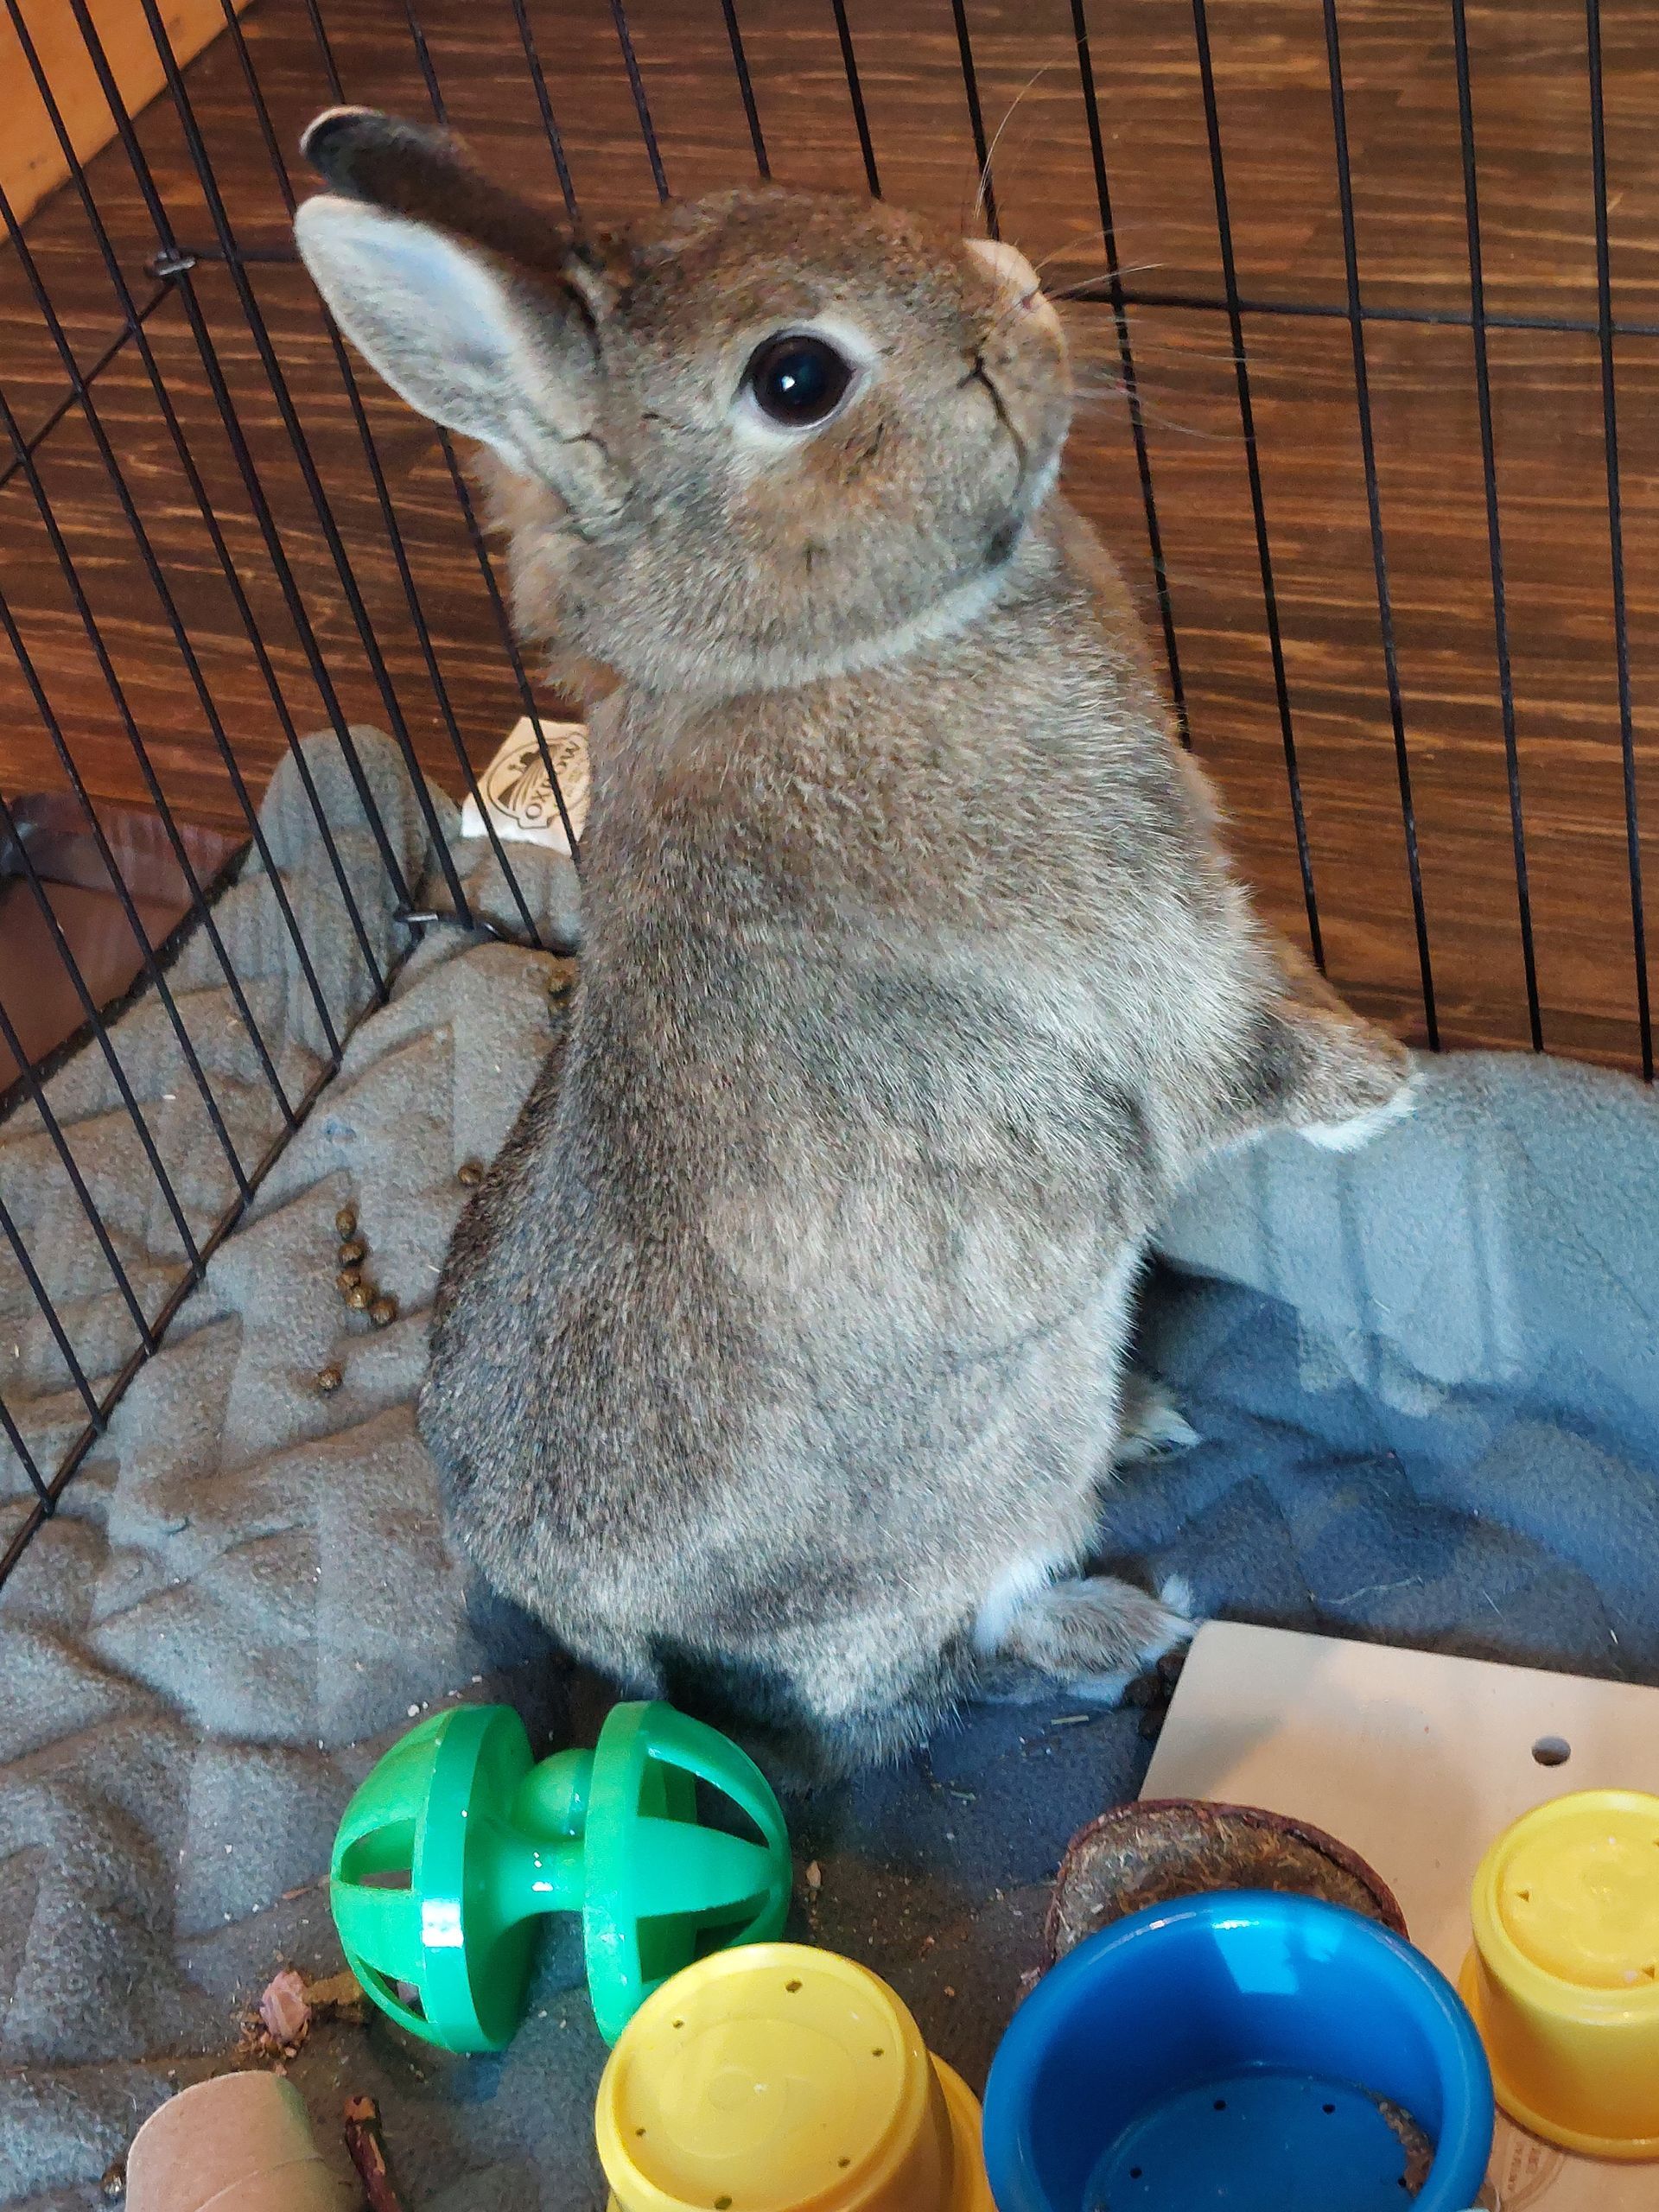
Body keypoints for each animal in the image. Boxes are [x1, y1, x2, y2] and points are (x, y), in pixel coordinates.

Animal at [293, 110, 1414, 1780]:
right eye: (795, 379)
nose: (1020, 294)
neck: (810, 653)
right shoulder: (1154, 955)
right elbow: (1245, 1058)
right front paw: (1388, 1090)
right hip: (961, 1510)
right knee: (928, 1675)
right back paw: (1116, 1622)